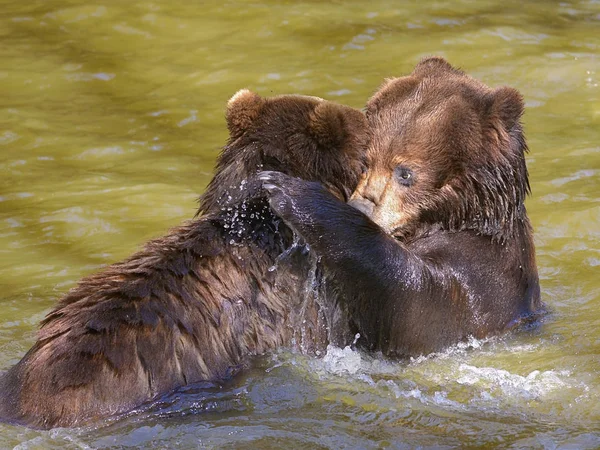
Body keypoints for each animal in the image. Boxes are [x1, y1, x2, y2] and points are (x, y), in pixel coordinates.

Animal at [262, 56, 544, 358]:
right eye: (366, 161)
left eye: (405, 172)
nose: (362, 207)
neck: (459, 215)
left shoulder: (481, 276)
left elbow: (412, 304)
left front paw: (289, 190)